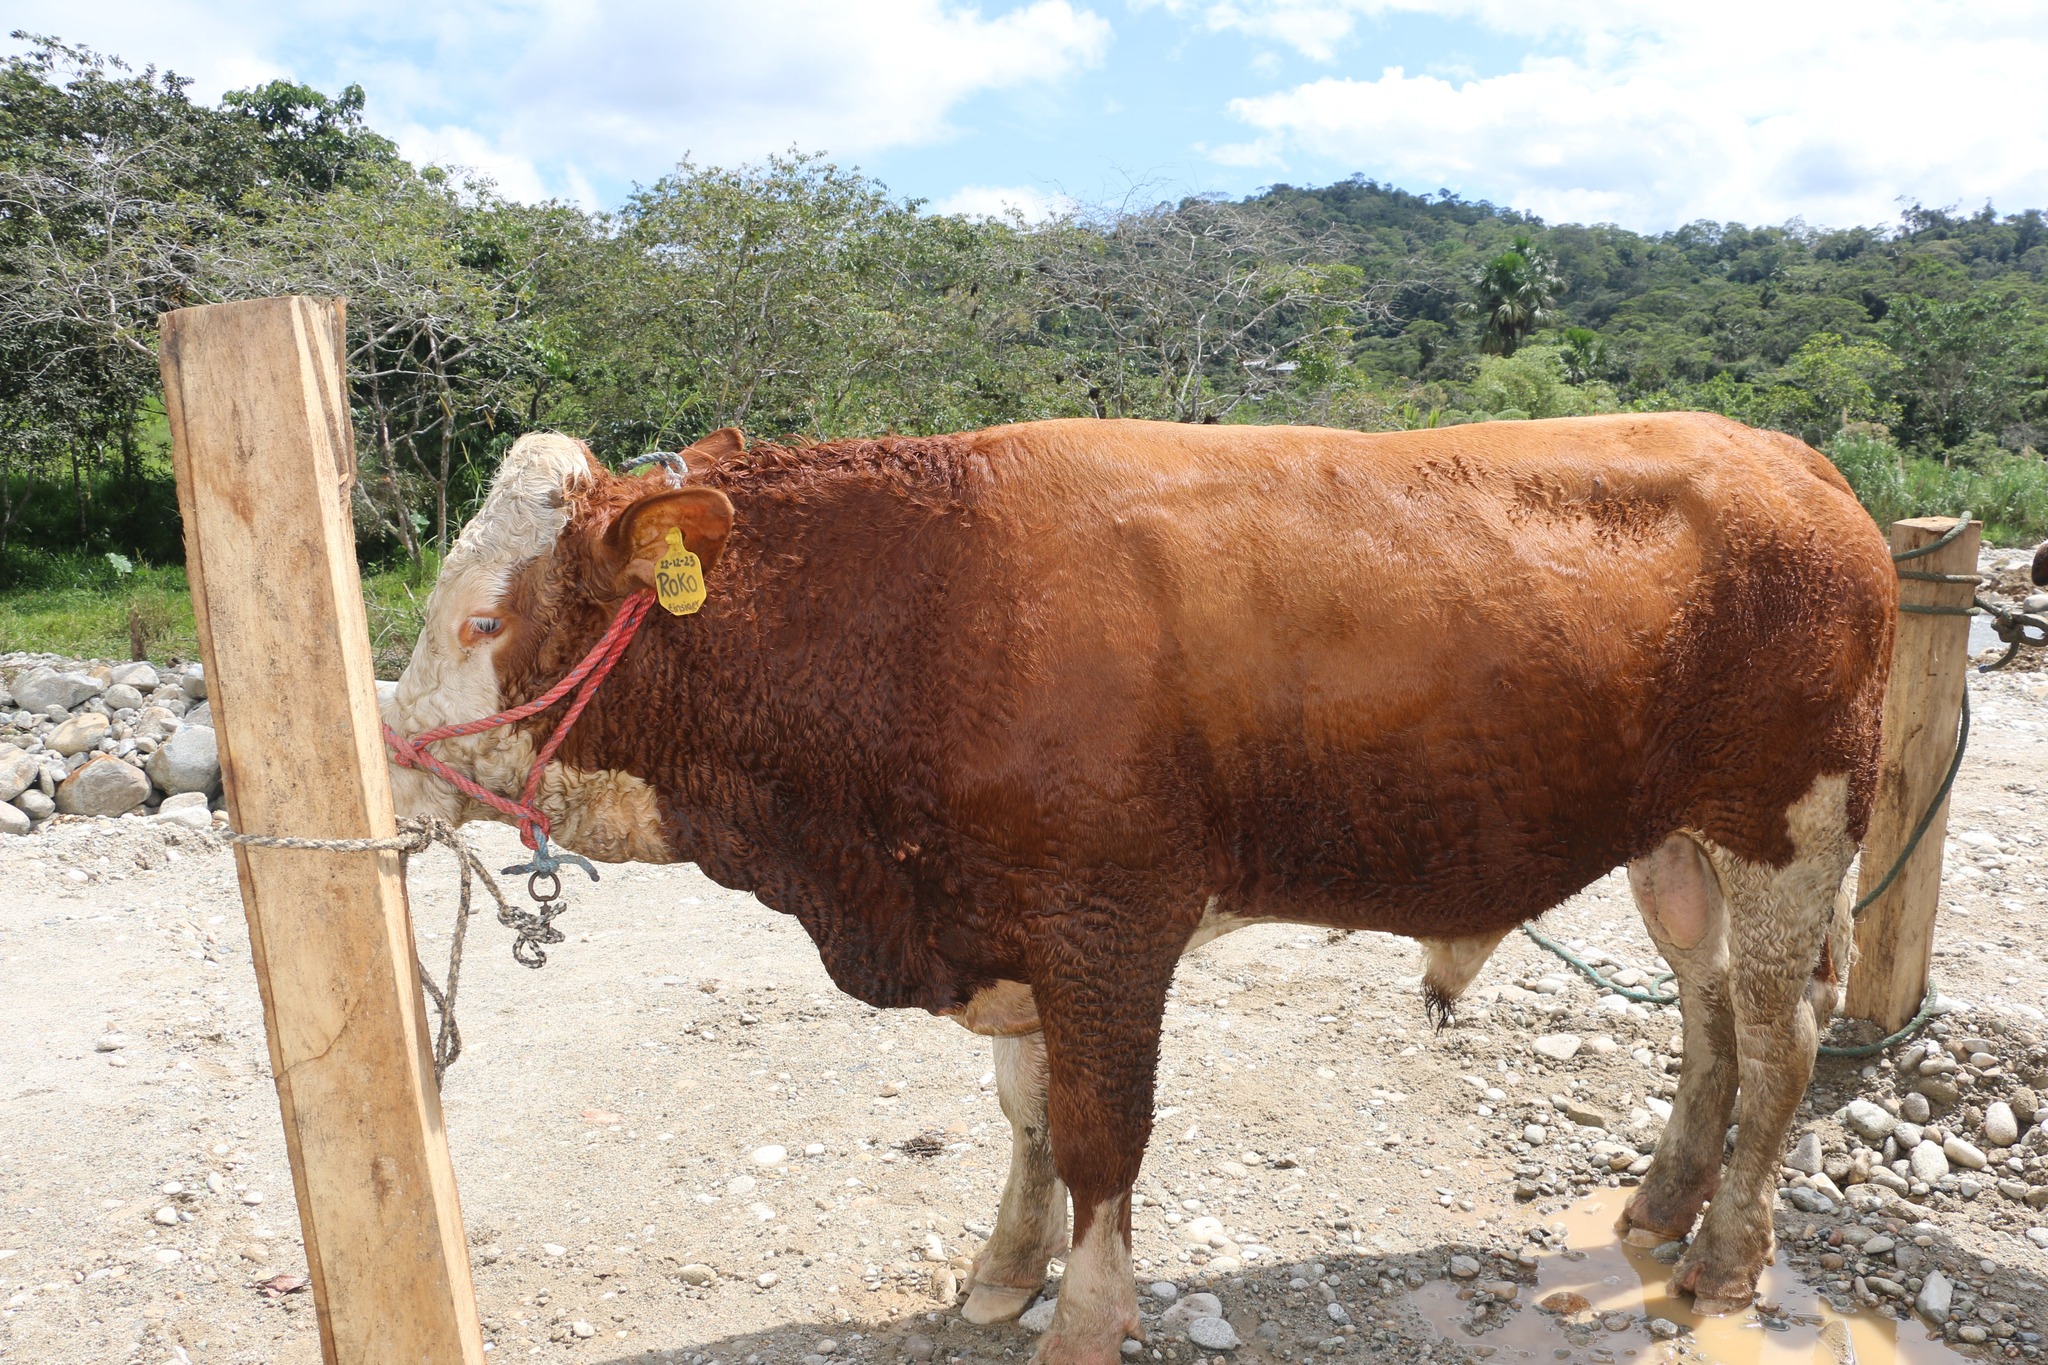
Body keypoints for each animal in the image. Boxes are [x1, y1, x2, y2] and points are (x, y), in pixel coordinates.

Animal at [385, 413, 1895, 1364]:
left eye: (481, 620)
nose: (381, 761)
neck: (927, 609)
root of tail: (1791, 458)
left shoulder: (1109, 922)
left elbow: (1101, 1133)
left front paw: (1083, 1319)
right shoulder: (1013, 928)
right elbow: (1025, 1115)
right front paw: (1003, 1268)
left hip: (1793, 826)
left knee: (1778, 1037)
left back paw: (1726, 1253)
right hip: (1674, 845)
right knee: (1707, 1014)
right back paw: (1659, 1202)